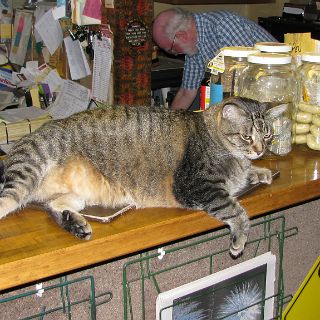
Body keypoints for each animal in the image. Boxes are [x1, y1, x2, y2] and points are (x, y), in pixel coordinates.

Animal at [0, 97, 286, 258]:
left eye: (268, 135)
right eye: (247, 136)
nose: (260, 150)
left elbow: (246, 175)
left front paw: (259, 171)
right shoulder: (197, 186)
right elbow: (237, 211)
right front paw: (239, 240)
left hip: (76, 196)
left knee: (55, 206)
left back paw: (77, 225)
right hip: (28, 168)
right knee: (9, 199)